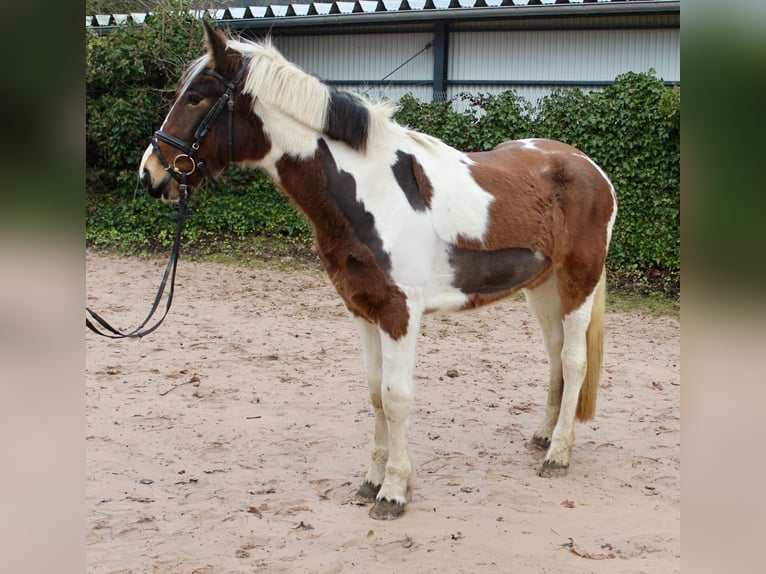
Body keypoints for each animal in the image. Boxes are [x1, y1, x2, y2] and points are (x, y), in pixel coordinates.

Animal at [140, 22, 616, 520]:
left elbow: (397, 397)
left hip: (578, 282)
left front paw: (394, 492)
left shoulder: (399, 313)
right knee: (555, 357)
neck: (372, 190)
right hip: (542, 287)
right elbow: (375, 394)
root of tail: (590, 168)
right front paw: (372, 480)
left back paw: (558, 454)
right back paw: (544, 435)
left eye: (197, 97)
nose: (151, 173)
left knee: (574, 361)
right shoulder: (363, 309)